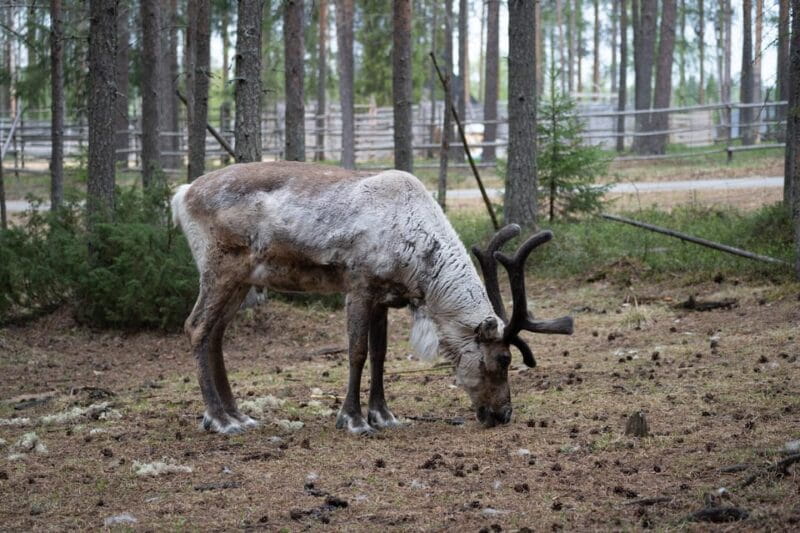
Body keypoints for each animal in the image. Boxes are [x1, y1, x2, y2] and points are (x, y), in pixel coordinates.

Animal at [171, 161, 573, 435]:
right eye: (503, 359)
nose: (504, 414)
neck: (416, 253)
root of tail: (182, 194)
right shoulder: (359, 286)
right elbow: (357, 353)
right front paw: (352, 420)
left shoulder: (385, 296)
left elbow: (380, 355)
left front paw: (384, 415)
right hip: (219, 268)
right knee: (196, 327)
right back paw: (219, 420)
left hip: (240, 280)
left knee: (215, 334)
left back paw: (237, 414)